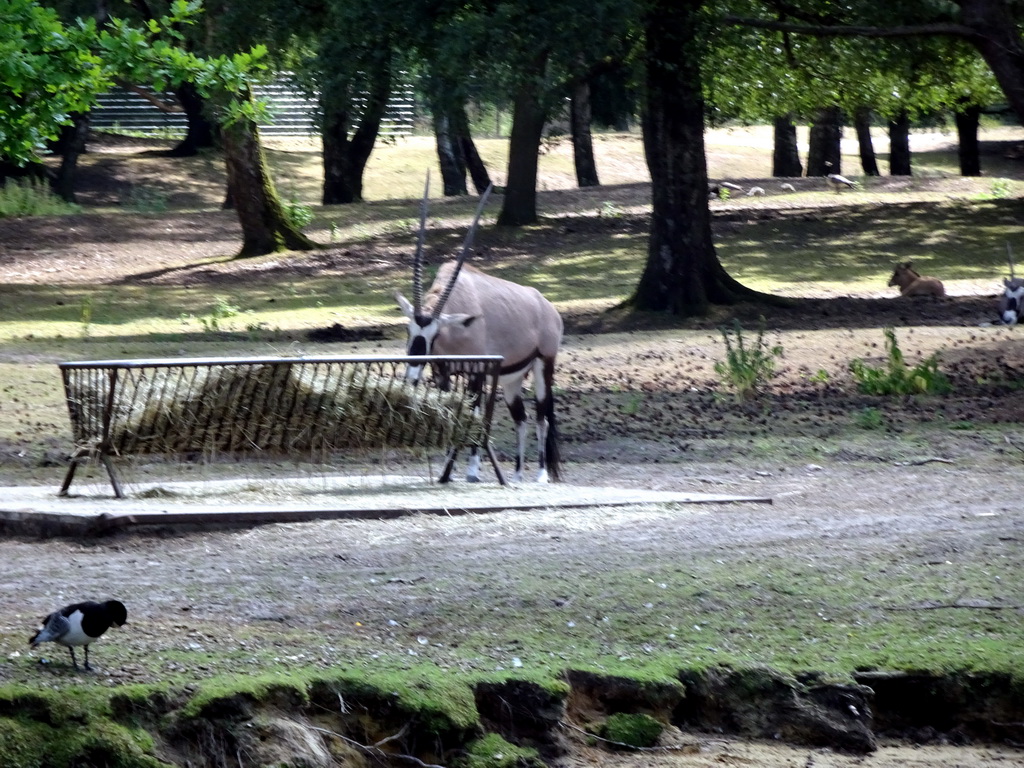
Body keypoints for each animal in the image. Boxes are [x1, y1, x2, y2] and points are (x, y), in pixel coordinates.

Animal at [395, 179, 565, 487]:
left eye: (435, 334)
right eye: (409, 329)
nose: (411, 375)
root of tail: (547, 307)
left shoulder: (476, 374)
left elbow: (473, 413)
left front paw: (472, 469)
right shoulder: (443, 374)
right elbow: (453, 411)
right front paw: (448, 468)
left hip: (543, 365)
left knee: (541, 416)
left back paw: (541, 475)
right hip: (511, 380)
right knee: (521, 418)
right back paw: (518, 473)